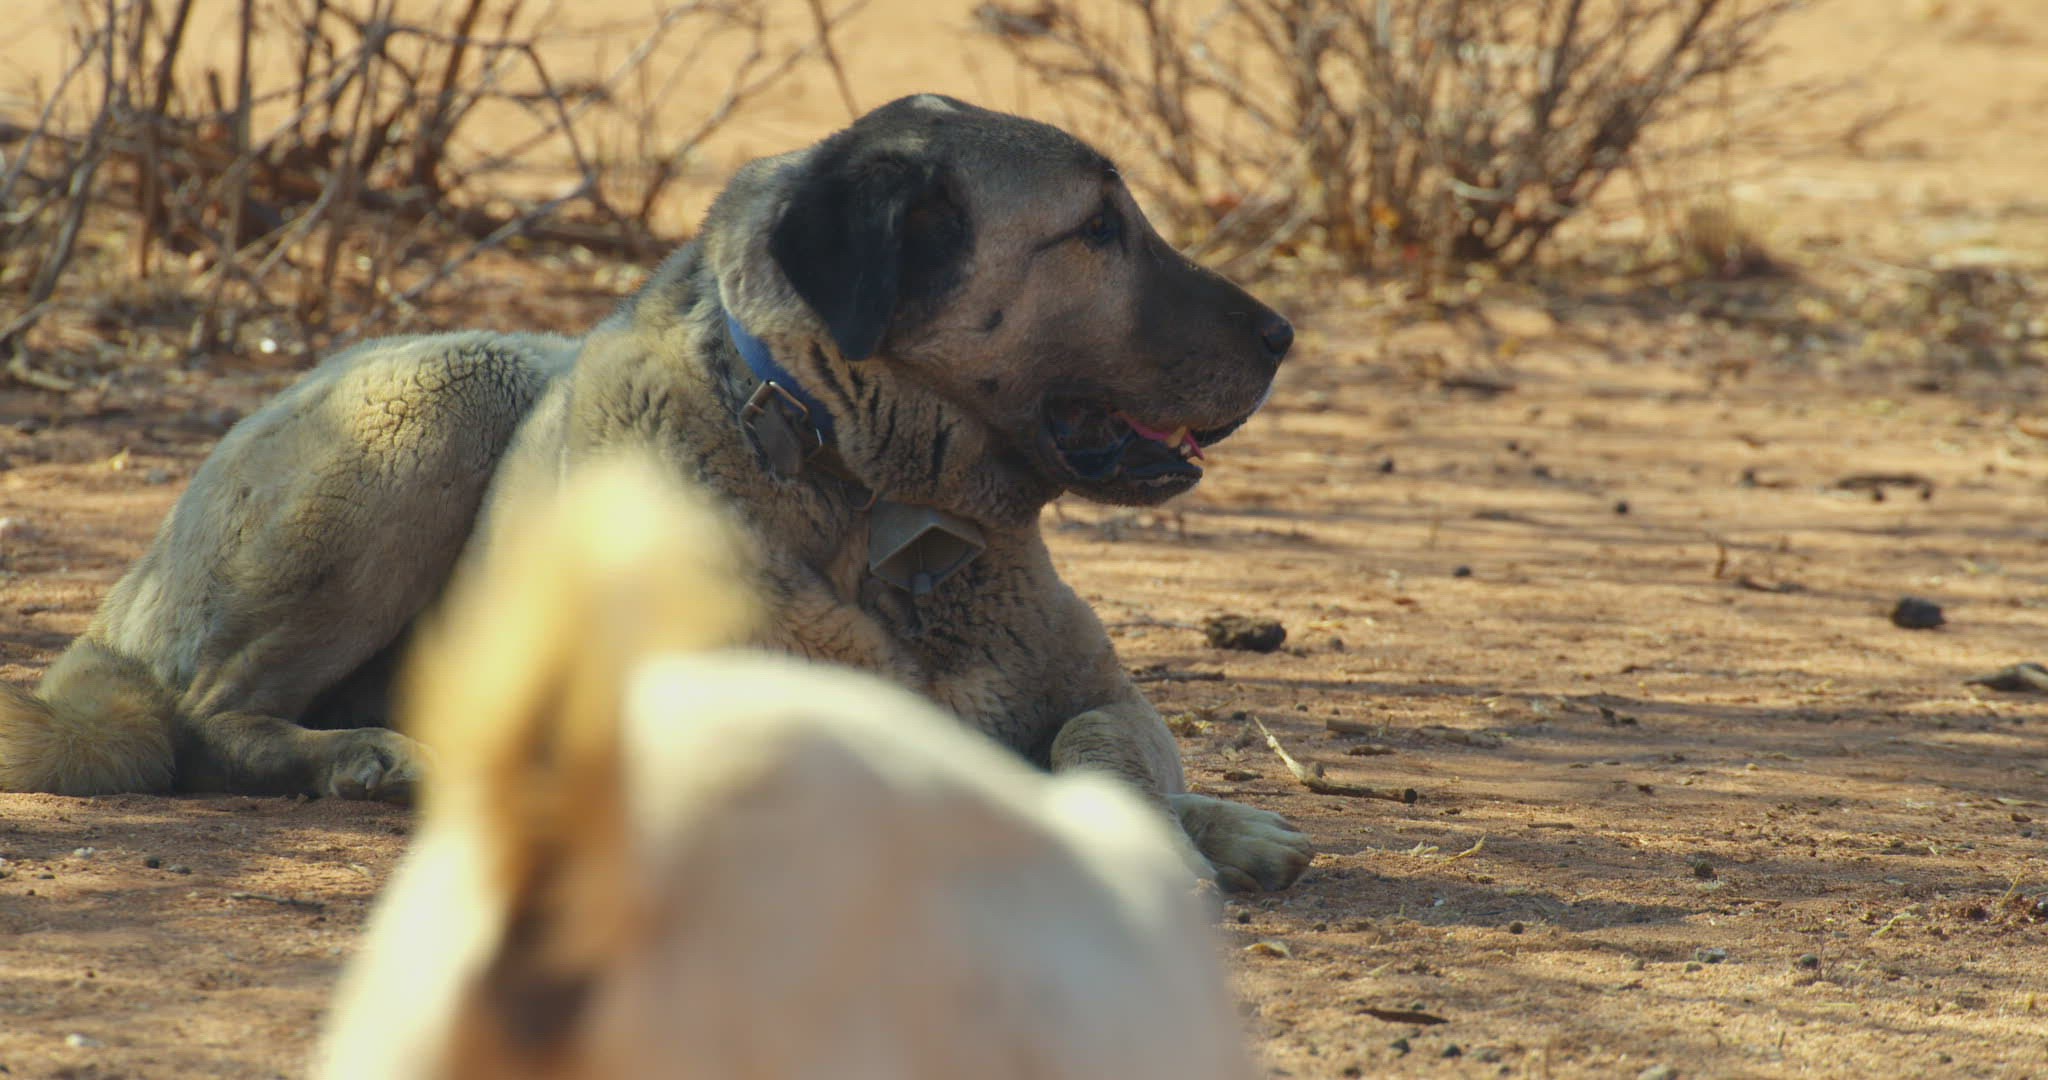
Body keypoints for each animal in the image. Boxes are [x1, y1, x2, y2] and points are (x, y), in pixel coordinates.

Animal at [0, 94, 1311, 892]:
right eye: (1095, 230)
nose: (1282, 335)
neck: (872, 510)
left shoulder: (1100, 697)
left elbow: (1099, 740)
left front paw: (1217, 826)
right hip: (441, 400)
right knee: (204, 716)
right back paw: (361, 757)